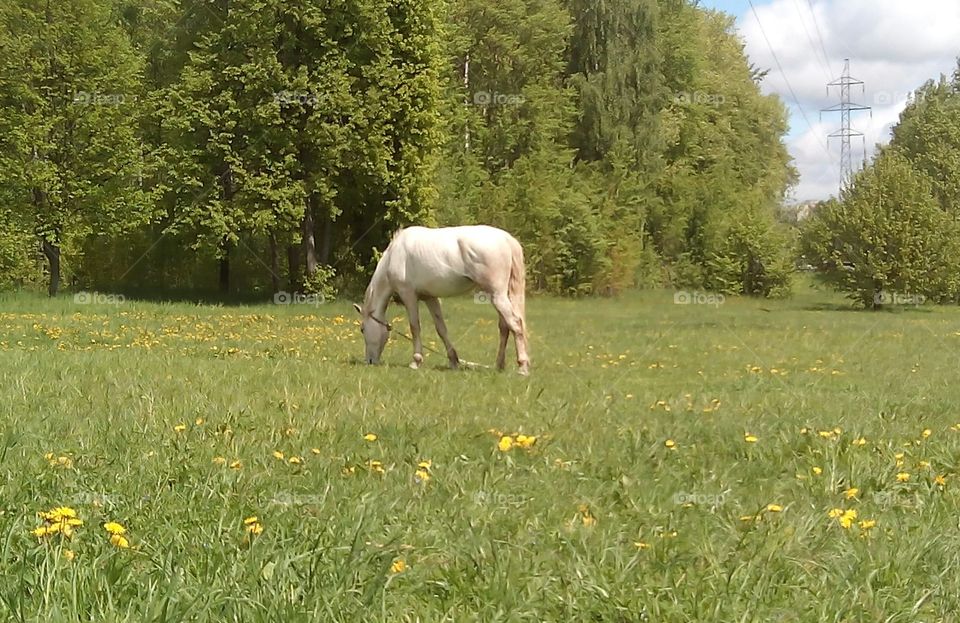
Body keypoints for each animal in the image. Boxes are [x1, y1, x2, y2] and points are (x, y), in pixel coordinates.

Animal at [352, 227, 532, 378]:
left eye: (362, 329)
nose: (369, 361)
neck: (394, 255)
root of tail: (507, 239)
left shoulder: (408, 295)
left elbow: (415, 327)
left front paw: (416, 361)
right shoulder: (430, 298)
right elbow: (441, 329)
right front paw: (453, 361)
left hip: (497, 295)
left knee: (515, 324)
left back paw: (522, 368)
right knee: (504, 327)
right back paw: (499, 365)